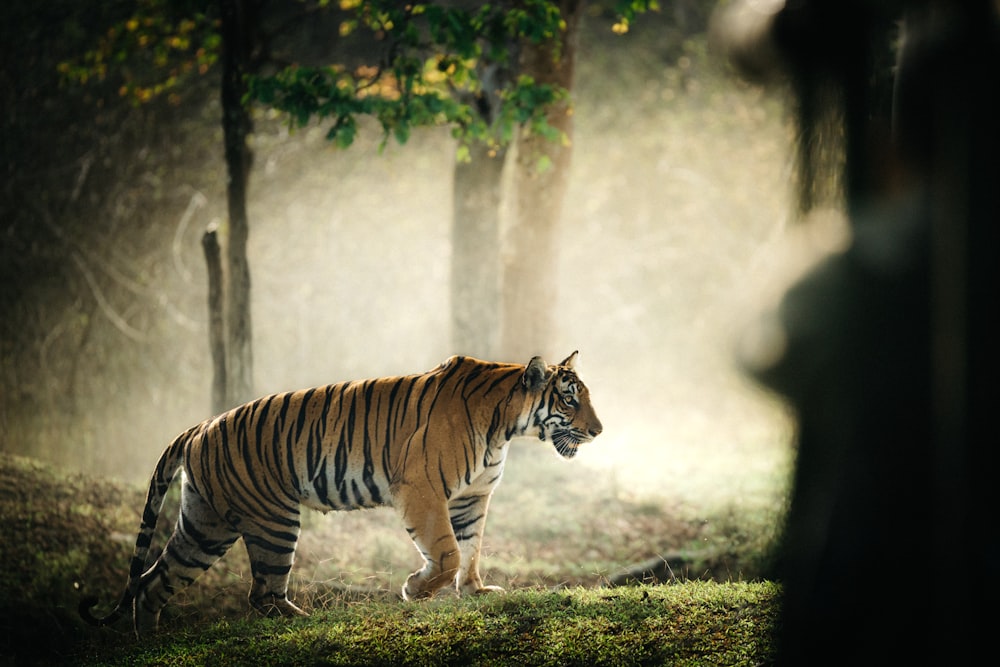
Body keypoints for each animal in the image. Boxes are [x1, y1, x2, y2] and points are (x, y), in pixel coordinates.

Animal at [78, 350, 600, 636]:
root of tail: (200, 426)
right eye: (569, 399)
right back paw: (304, 621)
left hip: (206, 524)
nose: (598, 431)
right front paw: (415, 589)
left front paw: (474, 592)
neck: (506, 427)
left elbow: (470, 550)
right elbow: (448, 552)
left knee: (154, 582)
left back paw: (150, 642)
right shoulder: (422, 489)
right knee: (261, 593)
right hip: (272, 521)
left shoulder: (472, 498)